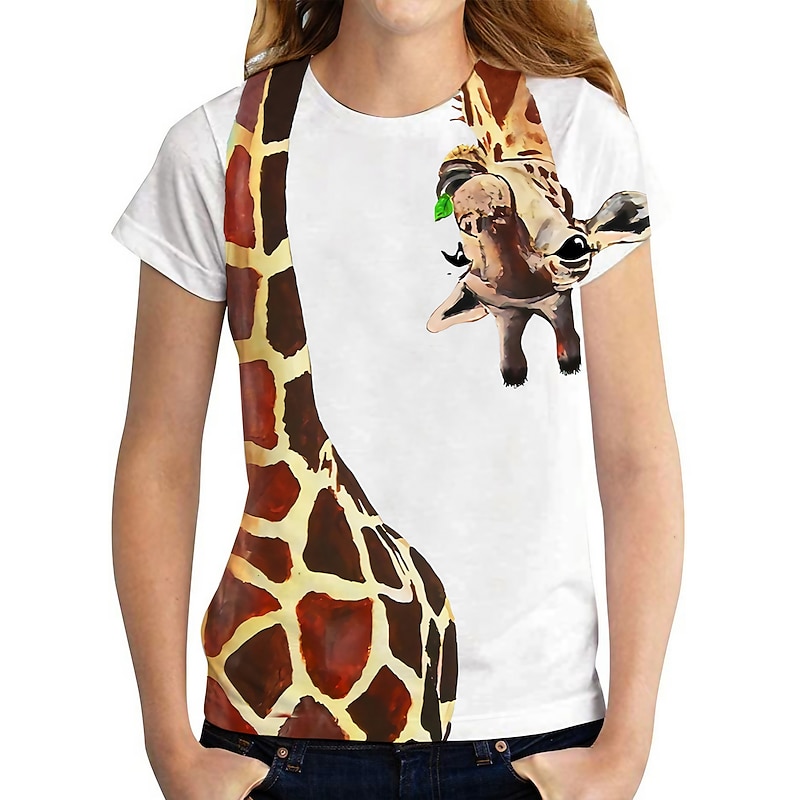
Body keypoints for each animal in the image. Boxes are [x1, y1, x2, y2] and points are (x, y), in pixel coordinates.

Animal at [428, 60, 651, 386]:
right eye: (451, 182)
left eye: (577, 248)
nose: (480, 193)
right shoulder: (506, 310)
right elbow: (515, 365)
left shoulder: (552, 300)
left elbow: (568, 351)